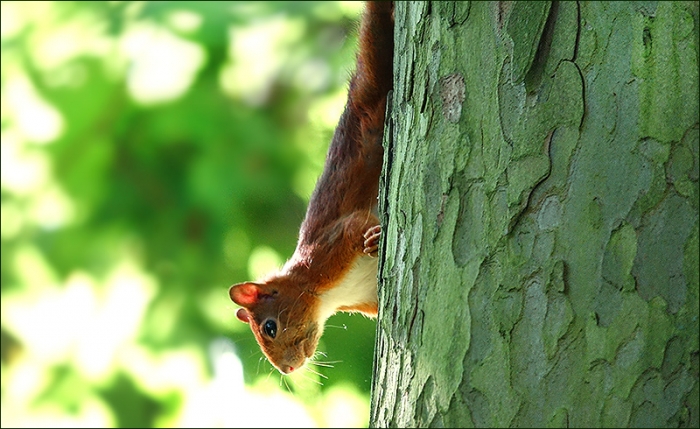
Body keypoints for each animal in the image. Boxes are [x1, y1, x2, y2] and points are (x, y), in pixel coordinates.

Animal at [228, 1, 394, 375]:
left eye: (269, 327)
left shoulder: (328, 248)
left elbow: (356, 225)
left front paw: (374, 238)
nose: (287, 370)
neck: (330, 296)